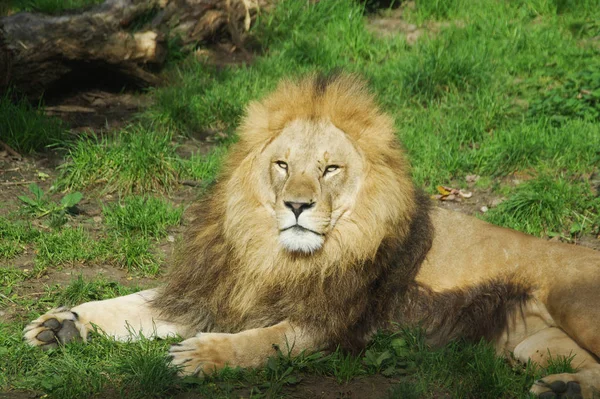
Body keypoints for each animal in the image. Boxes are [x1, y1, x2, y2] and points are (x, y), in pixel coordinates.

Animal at [24, 73, 600, 398]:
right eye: (282, 164)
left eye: (330, 169)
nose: (296, 205)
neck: (272, 255)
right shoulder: (215, 290)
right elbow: (132, 304)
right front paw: (63, 323)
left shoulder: (334, 324)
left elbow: (264, 340)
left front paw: (202, 356)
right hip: (531, 347)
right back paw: (562, 387)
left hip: (575, 305)